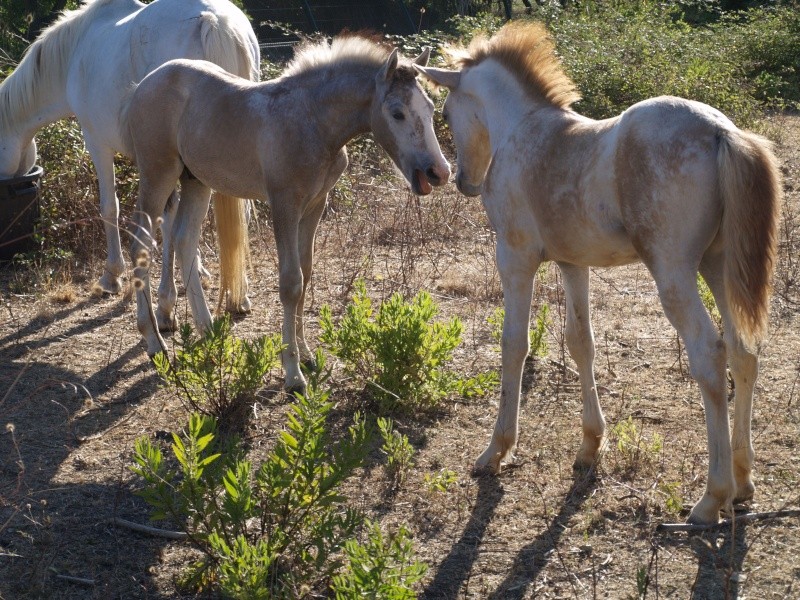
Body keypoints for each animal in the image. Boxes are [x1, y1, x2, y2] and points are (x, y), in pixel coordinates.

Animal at [0, 0, 256, 314]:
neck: (75, 53)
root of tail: (213, 21)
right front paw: (197, 272)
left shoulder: (97, 142)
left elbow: (110, 207)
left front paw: (112, 275)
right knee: (236, 214)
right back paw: (238, 295)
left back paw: (166, 300)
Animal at [124, 36, 450, 394]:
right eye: (397, 113)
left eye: (430, 108)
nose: (439, 171)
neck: (312, 121)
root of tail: (143, 84)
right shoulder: (284, 206)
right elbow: (291, 283)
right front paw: (293, 373)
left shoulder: (314, 206)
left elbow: (305, 275)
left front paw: (305, 353)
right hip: (158, 175)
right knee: (140, 246)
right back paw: (154, 341)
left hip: (196, 180)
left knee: (184, 240)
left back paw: (208, 332)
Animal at [418, 21, 780, 524]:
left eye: (448, 112)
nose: (464, 182)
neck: (523, 129)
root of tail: (721, 131)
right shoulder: (574, 263)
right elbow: (580, 342)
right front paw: (590, 445)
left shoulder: (514, 257)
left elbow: (514, 345)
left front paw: (496, 451)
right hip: (719, 264)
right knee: (745, 352)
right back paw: (744, 482)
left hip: (673, 271)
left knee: (711, 354)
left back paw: (713, 496)